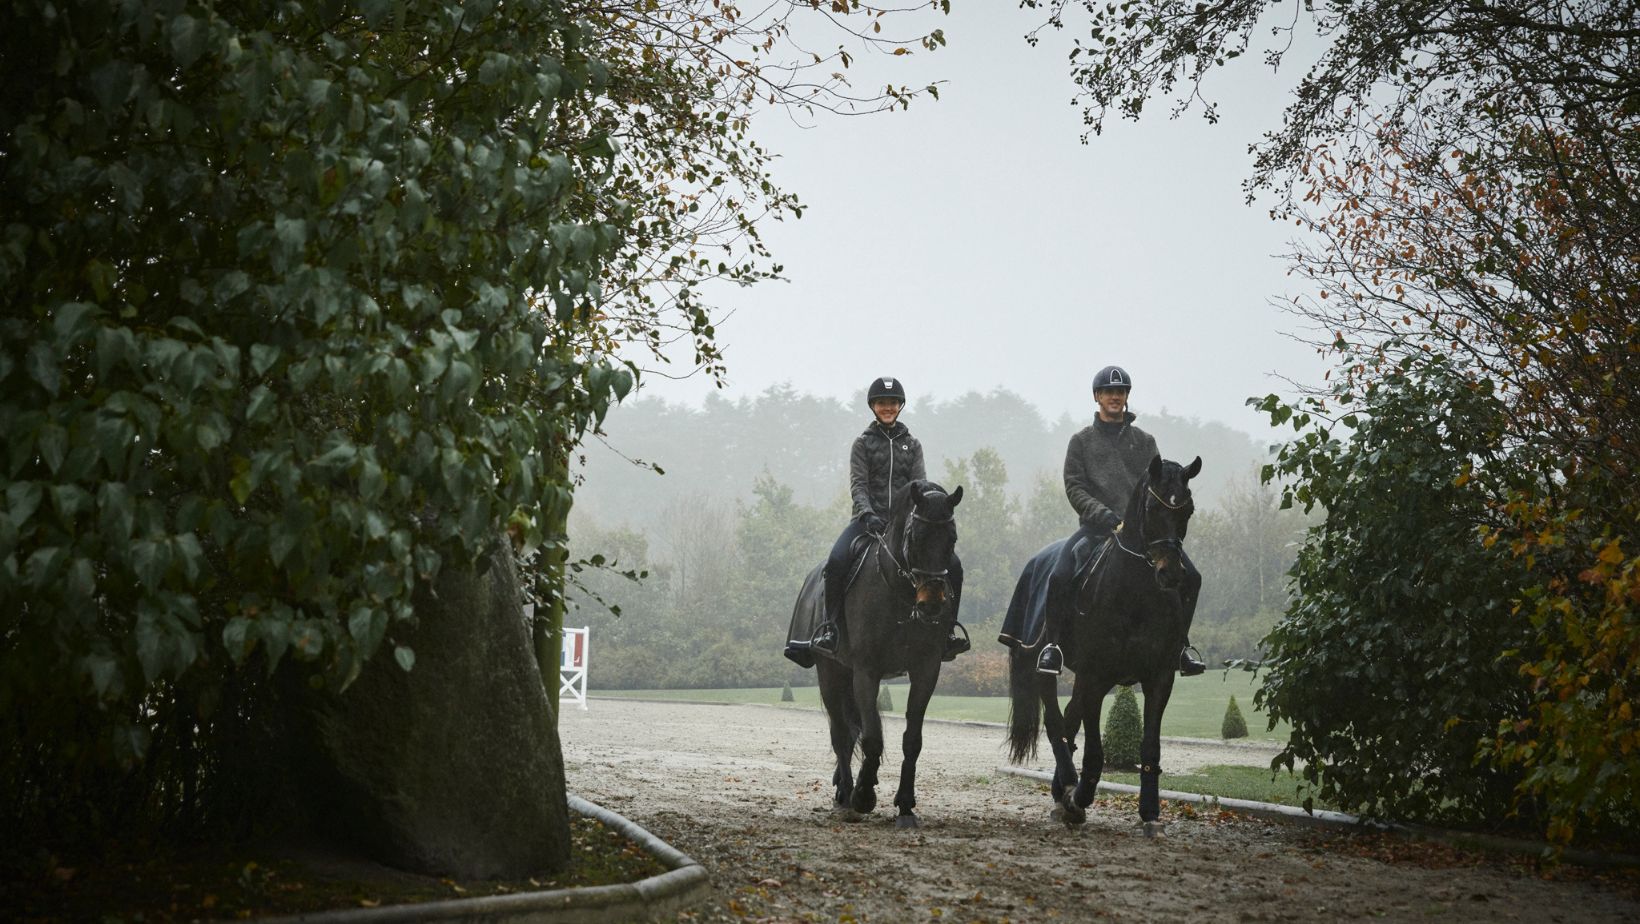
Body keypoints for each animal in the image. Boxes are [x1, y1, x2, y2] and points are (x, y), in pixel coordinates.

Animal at [793, 482, 957, 827]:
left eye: (952, 538)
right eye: (914, 536)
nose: (932, 603)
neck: (900, 593)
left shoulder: (925, 670)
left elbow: (911, 740)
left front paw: (905, 805)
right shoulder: (866, 671)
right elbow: (870, 737)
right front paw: (863, 796)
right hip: (831, 673)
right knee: (841, 734)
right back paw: (845, 793)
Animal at [997, 459, 1207, 833]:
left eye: (1188, 509)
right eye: (1153, 508)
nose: (1171, 574)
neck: (1135, 594)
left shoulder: (1158, 678)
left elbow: (1149, 747)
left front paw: (1150, 813)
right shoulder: (1096, 676)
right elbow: (1095, 751)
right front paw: (1079, 797)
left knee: (1068, 721)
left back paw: (1061, 792)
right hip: (1047, 666)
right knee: (1056, 721)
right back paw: (1068, 786)